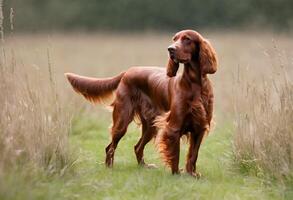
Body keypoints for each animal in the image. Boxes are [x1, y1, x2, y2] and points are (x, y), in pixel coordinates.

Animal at [66, 29, 217, 177]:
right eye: (174, 39)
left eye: (187, 39)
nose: (170, 49)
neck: (195, 84)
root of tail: (127, 71)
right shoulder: (173, 127)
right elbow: (175, 154)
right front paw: (176, 175)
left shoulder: (200, 126)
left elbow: (193, 154)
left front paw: (192, 174)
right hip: (122, 120)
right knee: (110, 147)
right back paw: (109, 168)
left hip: (151, 125)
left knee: (137, 146)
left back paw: (143, 166)